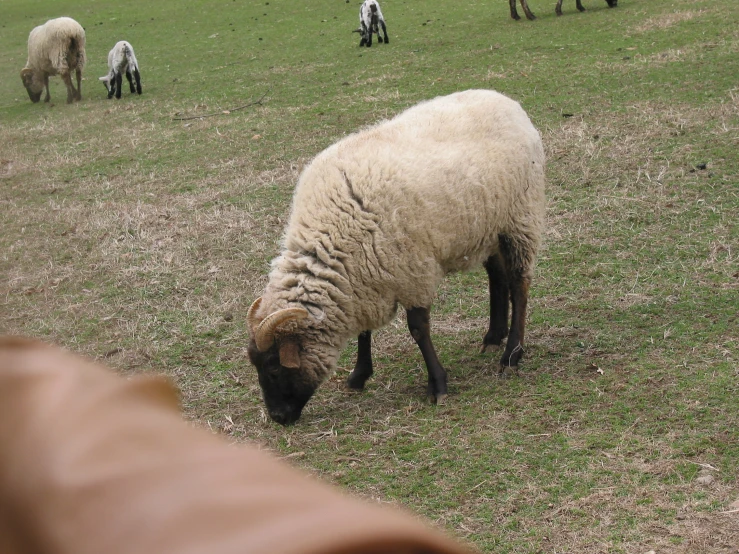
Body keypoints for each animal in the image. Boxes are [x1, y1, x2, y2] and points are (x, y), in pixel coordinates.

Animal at [246, 88, 548, 422]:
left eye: (273, 368)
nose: (279, 417)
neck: (331, 237)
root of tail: (506, 100)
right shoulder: (363, 275)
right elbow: (364, 330)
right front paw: (359, 375)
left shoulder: (412, 271)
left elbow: (418, 329)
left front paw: (437, 385)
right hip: (488, 224)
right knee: (497, 275)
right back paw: (493, 337)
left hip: (520, 217)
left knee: (519, 283)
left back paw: (511, 355)